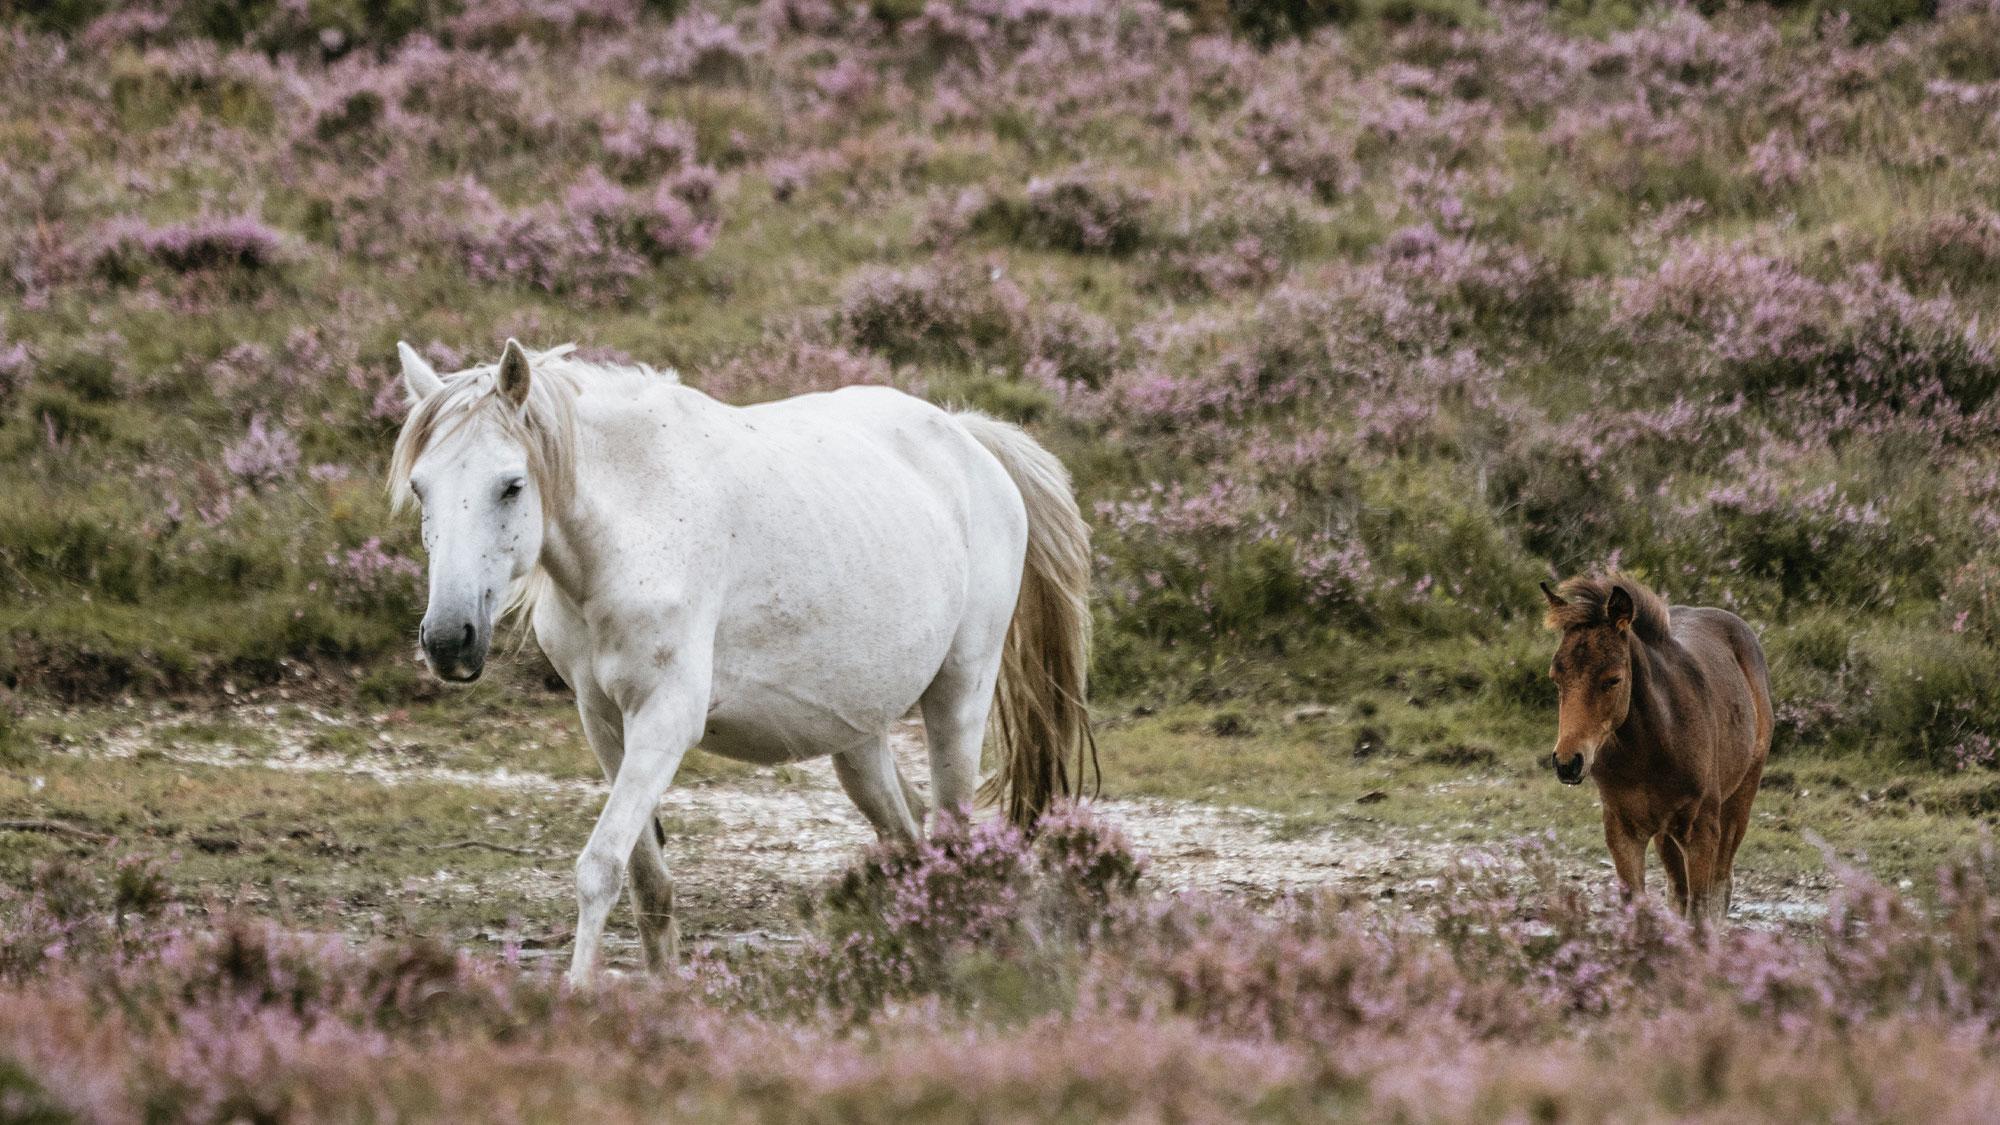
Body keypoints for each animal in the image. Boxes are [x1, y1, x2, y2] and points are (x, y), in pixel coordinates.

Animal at [386, 342, 1096, 980]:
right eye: (421, 488)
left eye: (511, 486)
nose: (448, 641)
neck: (635, 523)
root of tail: (970, 440)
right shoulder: (605, 723)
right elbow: (646, 884)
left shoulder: (666, 720)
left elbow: (600, 868)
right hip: (859, 741)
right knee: (908, 843)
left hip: (958, 699)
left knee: (951, 842)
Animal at [1536, 572, 1776, 916]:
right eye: (1556, 678)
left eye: (1613, 679)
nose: (1568, 763)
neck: (1651, 749)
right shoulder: (1622, 831)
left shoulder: (1702, 831)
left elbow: (1701, 911)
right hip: (1666, 833)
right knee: (1678, 890)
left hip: (1740, 798)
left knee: (1721, 886)